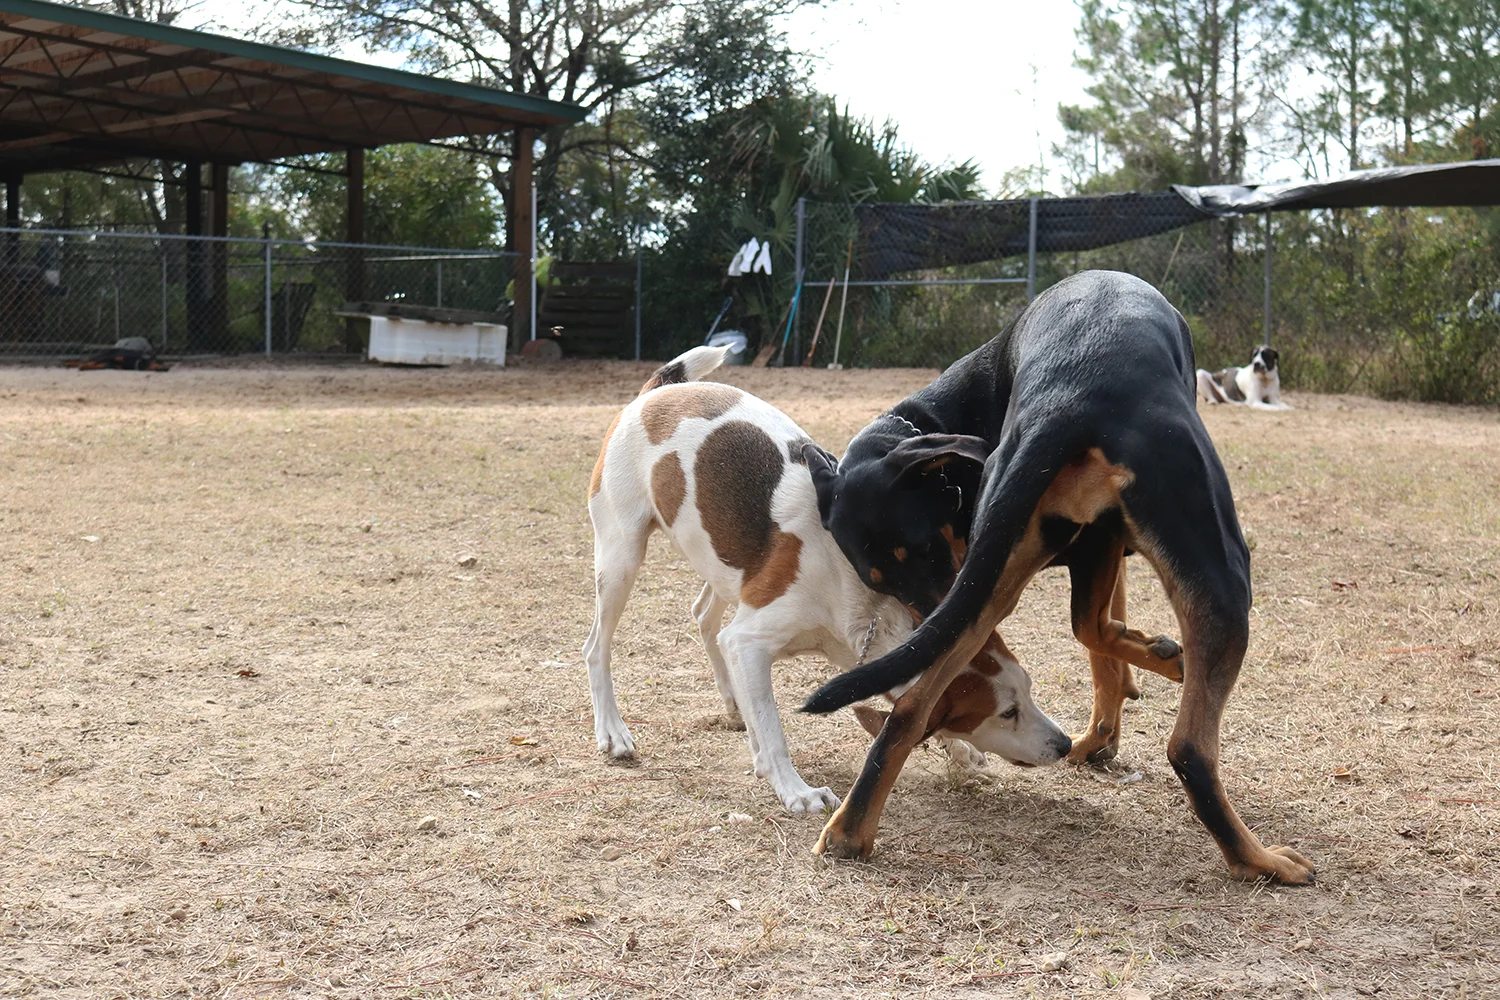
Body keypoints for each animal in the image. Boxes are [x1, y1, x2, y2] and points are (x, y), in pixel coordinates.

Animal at [585, 346, 1071, 812]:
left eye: (1028, 689)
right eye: (1007, 712)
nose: (1065, 744)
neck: (863, 602)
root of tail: (655, 393)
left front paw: (960, 752)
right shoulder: (749, 642)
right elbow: (774, 729)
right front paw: (794, 789)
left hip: (720, 562)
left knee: (704, 616)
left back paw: (732, 702)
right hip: (621, 558)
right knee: (597, 648)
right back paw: (613, 732)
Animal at [800, 270, 1314, 885]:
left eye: (924, 553)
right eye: (887, 580)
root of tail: (1062, 401)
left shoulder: (1046, 558)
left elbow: (1100, 640)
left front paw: (1111, 715)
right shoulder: (1103, 545)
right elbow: (1096, 631)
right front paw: (1155, 665)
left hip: (986, 586)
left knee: (908, 710)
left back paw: (849, 833)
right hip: (1221, 571)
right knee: (1189, 747)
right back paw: (1261, 861)